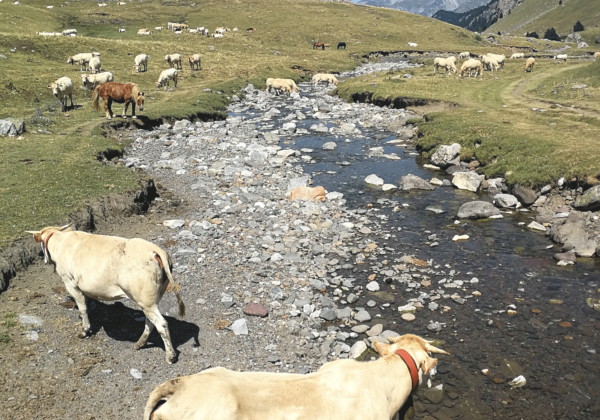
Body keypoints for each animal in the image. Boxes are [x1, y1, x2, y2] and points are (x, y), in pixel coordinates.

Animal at [26, 226, 185, 364]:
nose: (44, 260)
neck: (61, 241)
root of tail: (154, 249)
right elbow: (87, 304)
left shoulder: (70, 283)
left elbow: (82, 308)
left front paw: (85, 330)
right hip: (153, 297)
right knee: (151, 322)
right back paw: (139, 343)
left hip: (145, 298)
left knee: (161, 324)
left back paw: (170, 356)